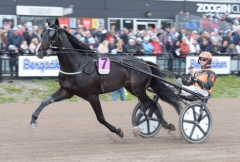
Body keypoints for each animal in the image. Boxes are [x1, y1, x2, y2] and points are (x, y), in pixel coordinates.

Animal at [30, 18, 181, 138]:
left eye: (51, 34)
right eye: (42, 32)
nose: (38, 50)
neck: (77, 64)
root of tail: (144, 62)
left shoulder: (92, 95)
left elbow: (100, 118)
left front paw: (118, 131)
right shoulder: (66, 91)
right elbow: (45, 101)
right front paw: (33, 121)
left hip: (139, 89)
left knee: (151, 105)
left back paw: (166, 125)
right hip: (132, 89)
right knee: (147, 105)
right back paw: (139, 126)